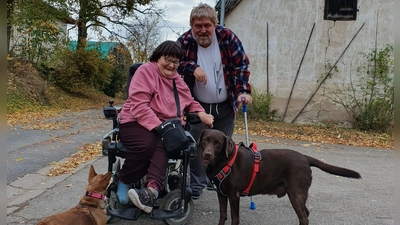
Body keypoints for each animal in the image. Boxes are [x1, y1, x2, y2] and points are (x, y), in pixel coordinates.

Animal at [198, 129, 360, 225]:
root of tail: (306, 158)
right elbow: (223, 215)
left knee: (304, 217)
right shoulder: (221, 194)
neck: (224, 161)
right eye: (205, 140)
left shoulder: (234, 195)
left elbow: (234, 218)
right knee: (306, 214)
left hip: (296, 194)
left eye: (218, 143)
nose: (207, 154)